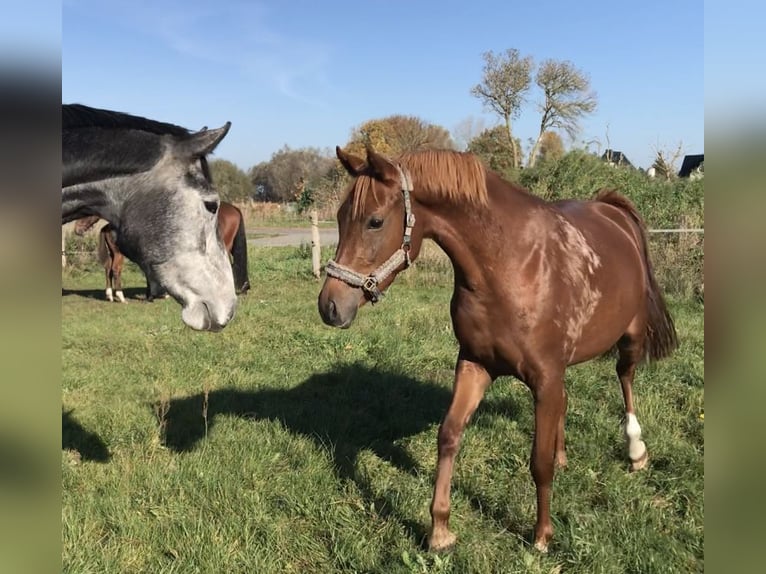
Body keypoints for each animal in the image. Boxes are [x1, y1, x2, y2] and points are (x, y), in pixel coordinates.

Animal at [318, 146, 680, 556]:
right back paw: (564, 455)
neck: (511, 266)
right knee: (567, 400)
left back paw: (636, 451)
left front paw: (541, 536)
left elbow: (538, 462)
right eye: (339, 217)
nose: (330, 306)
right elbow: (449, 435)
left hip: (630, 338)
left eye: (375, 222)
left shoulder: (544, 376)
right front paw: (440, 529)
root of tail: (613, 211)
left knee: (625, 378)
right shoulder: (475, 364)